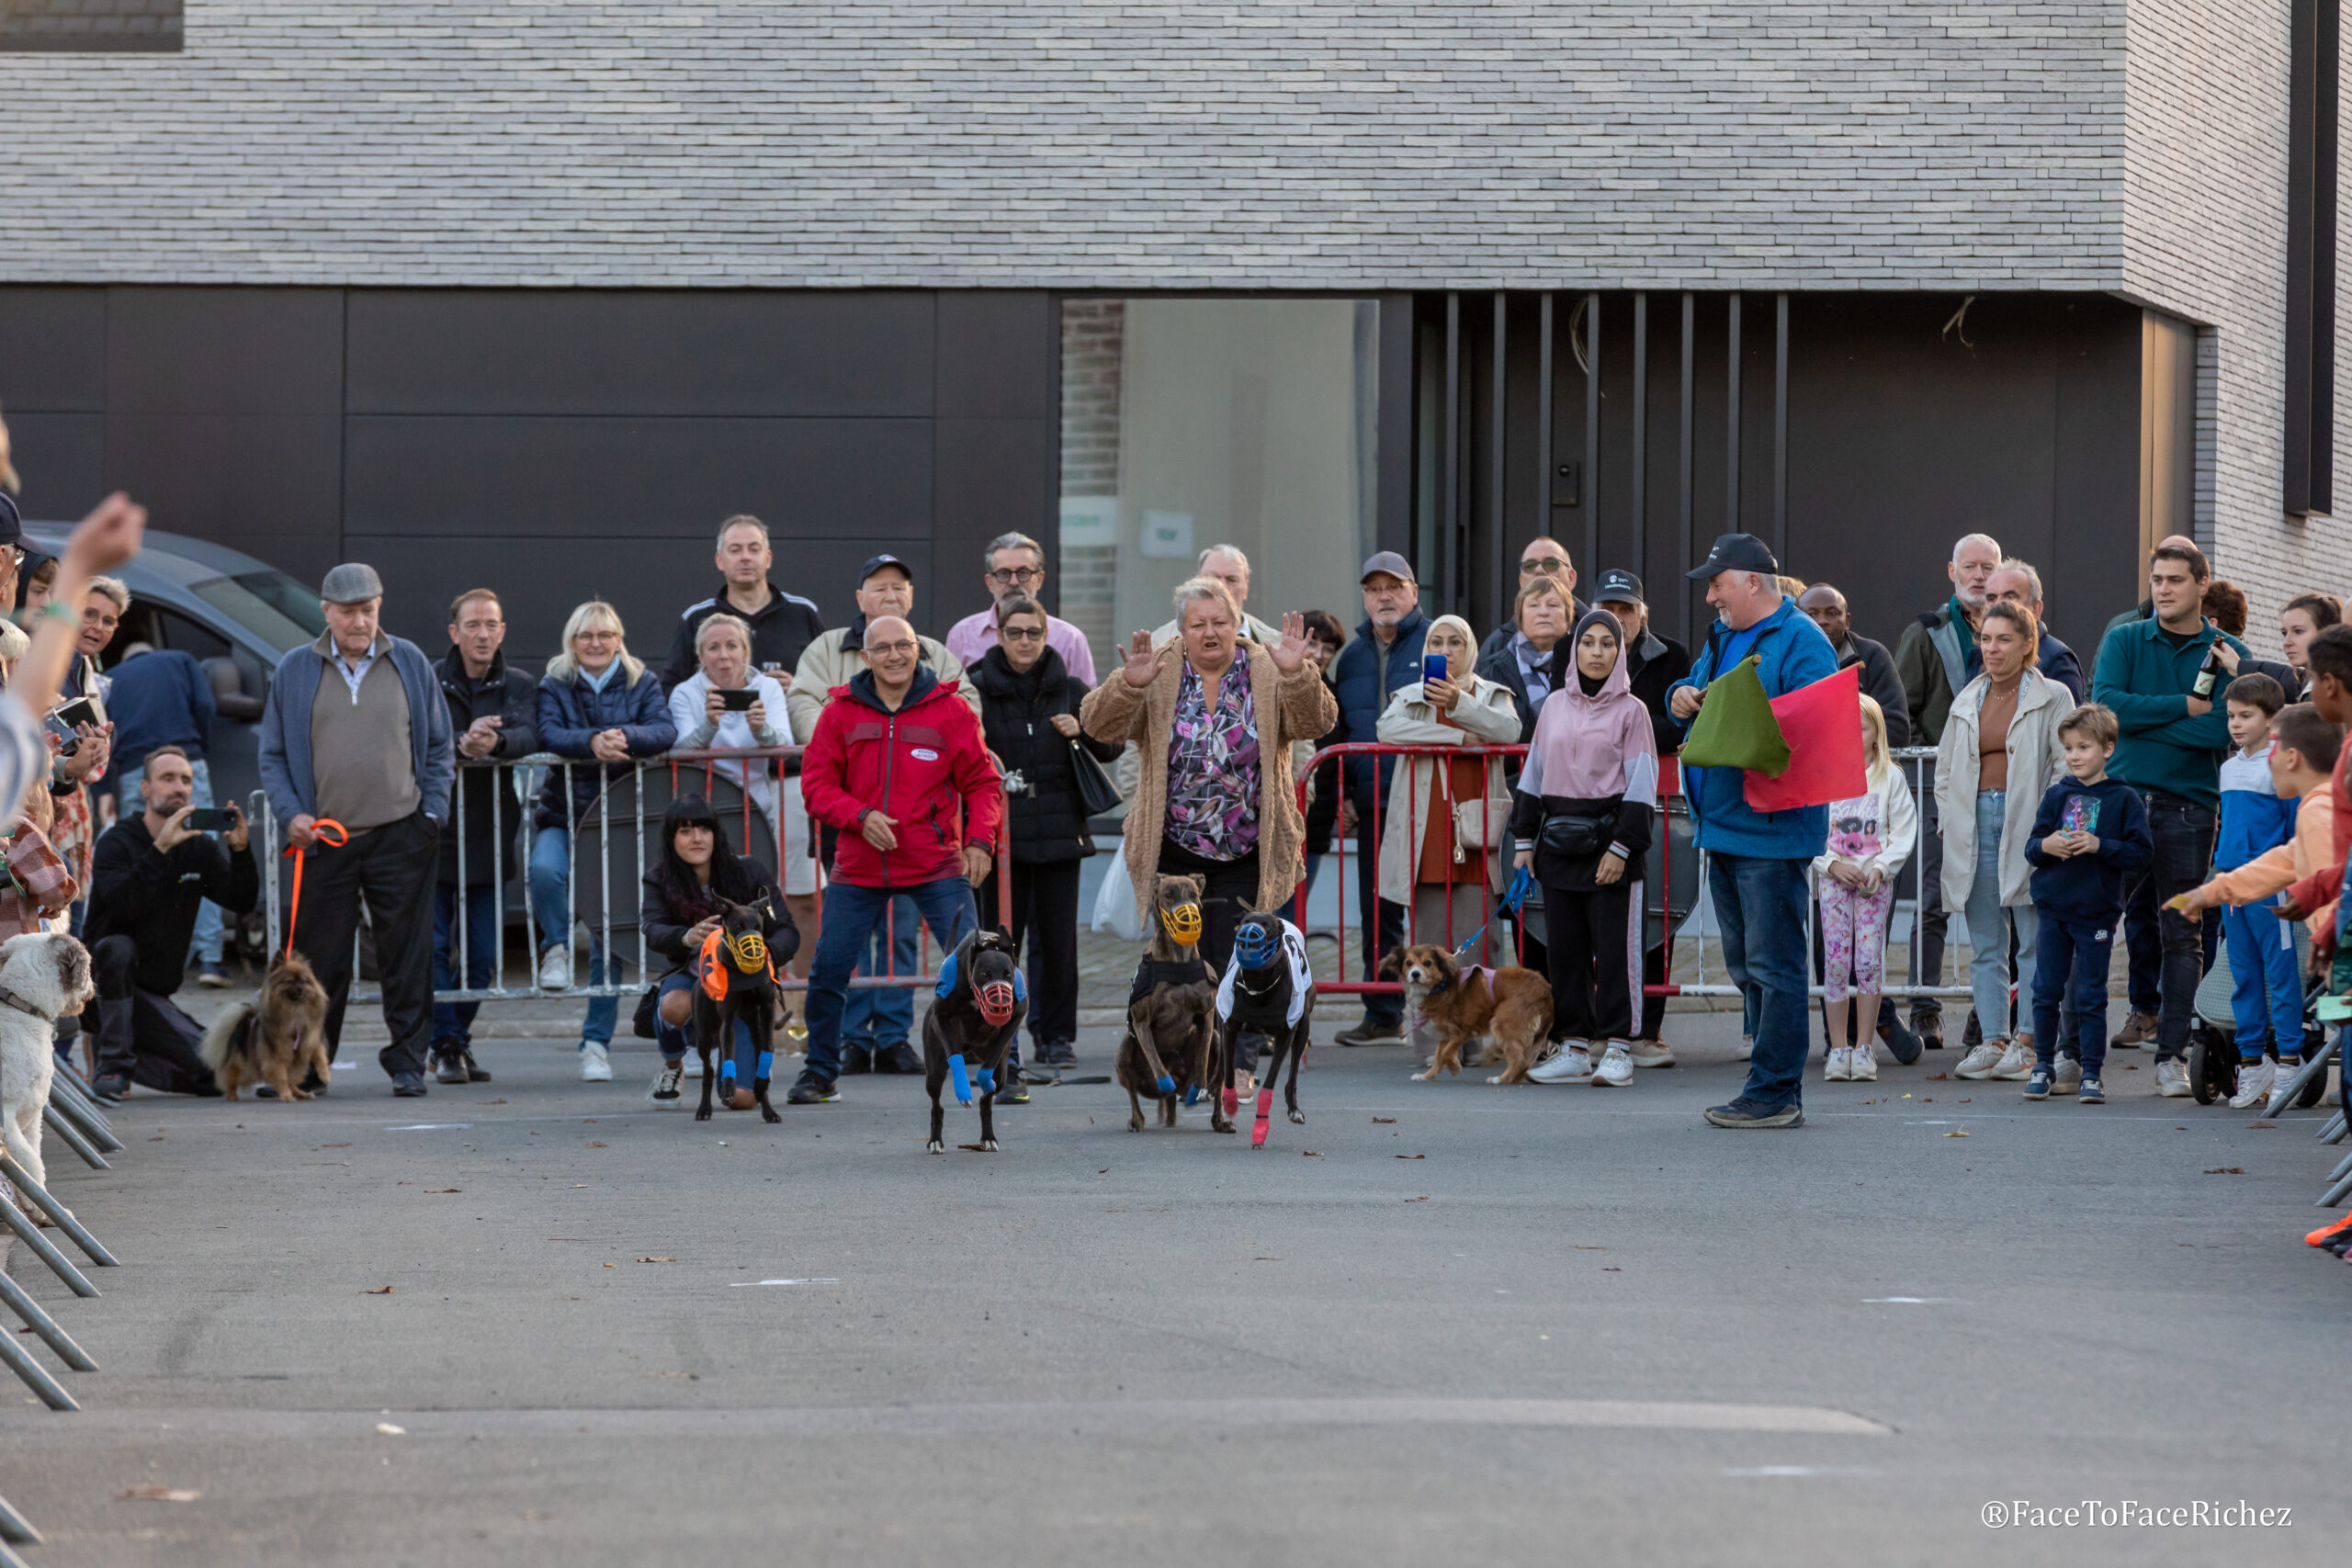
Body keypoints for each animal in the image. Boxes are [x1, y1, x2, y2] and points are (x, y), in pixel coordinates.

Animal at [199, 944, 331, 1104]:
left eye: (304, 981)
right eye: (289, 981)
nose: (300, 989)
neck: (294, 1011)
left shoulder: (310, 1037)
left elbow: (319, 1055)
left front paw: (325, 1075)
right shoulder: (276, 1055)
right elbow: (281, 1078)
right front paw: (286, 1096)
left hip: (295, 1066)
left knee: (293, 1082)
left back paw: (302, 1094)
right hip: (243, 1067)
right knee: (232, 1080)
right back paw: (232, 1096)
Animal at [1383, 949, 1552, 1086]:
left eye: (1427, 963)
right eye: (1408, 963)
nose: (1415, 974)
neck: (1441, 987)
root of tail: (1544, 991)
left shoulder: (1462, 1031)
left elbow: (1445, 1054)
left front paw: (1454, 1067)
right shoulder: (1445, 1035)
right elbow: (1438, 1057)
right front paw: (1426, 1076)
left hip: (1502, 1024)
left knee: (1518, 1059)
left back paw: (1500, 1079)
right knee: (1524, 1063)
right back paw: (1513, 1079)